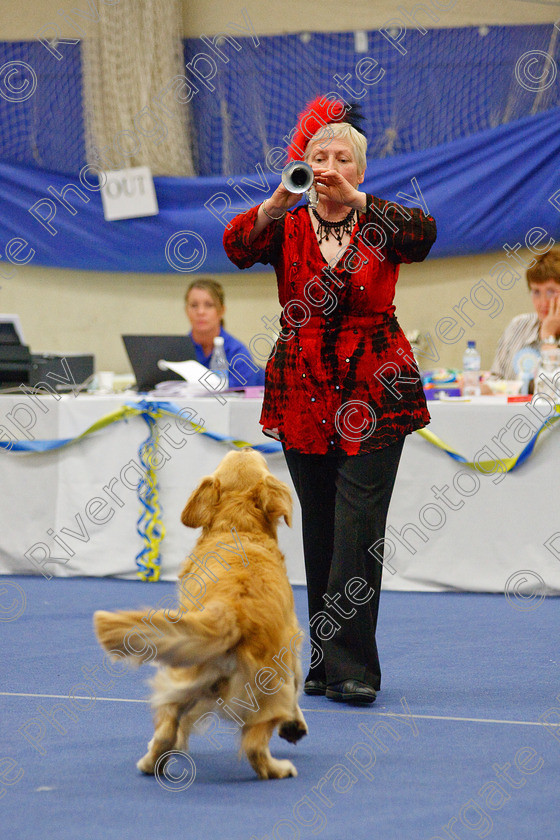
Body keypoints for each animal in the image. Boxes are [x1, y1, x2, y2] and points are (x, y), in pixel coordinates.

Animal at [94, 450, 308, 776]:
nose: (247, 447)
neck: (238, 528)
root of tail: (232, 613)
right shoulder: (292, 647)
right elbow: (297, 689)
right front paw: (295, 725)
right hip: (263, 689)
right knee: (253, 745)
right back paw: (278, 768)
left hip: (184, 673)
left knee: (168, 727)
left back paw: (152, 762)